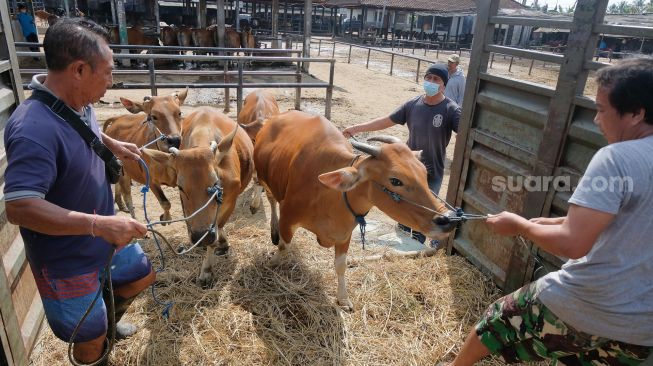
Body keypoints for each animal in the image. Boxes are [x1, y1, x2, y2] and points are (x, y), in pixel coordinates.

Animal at [102, 88, 188, 220]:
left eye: (179, 113)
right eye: (153, 116)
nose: (174, 140)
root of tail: (117, 119)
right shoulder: (151, 181)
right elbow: (165, 203)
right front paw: (165, 218)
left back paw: (121, 205)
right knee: (127, 196)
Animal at [144, 107, 253, 288]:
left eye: (216, 182)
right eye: (180, 187)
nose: (201, 235)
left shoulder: (230, 200)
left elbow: (218, 229)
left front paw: (207, 270)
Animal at [252, 111, 456, 308]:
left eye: (424, 173)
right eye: (395, 180)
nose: (448, 218)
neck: (329, 195)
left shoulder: (345, 234)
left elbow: (341, 265)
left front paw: (343, 298)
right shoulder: (288, 218)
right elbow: (283, 246)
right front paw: (272, 262)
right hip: (264, 178)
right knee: (270, 199)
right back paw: (271, 225)